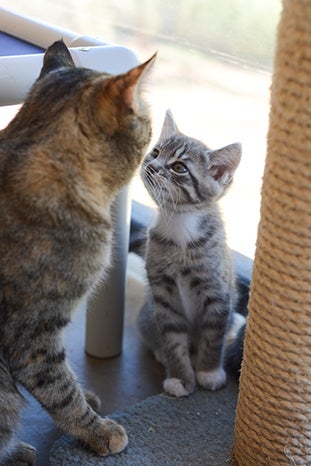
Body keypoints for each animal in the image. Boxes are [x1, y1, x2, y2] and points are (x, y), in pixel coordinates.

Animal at [0, 41, 155, 466]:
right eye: (147, 121)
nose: (154, 144)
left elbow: (65, 378)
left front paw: (87, 398)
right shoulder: (31, 334)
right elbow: (58, 389)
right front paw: (98, 431)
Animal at [138, 109, 245, 396]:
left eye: (179, 167)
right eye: (155, 152)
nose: (151, 165)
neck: (180, 228)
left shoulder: (218, 294)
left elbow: (213, 337)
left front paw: (208, 372)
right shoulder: (163, 293)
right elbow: (173, 340)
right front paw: (180, 376)